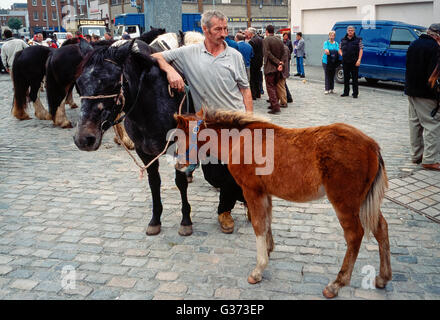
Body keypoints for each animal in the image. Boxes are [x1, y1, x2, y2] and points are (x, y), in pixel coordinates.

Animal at [74, 38, 194, 236]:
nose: (84, 138)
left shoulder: (177, 148)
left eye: (113, 84)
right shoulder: (144, 151)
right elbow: (154, 182)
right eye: (78, 84)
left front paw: (185, 220)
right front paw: (155, 220)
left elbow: (180, 182)